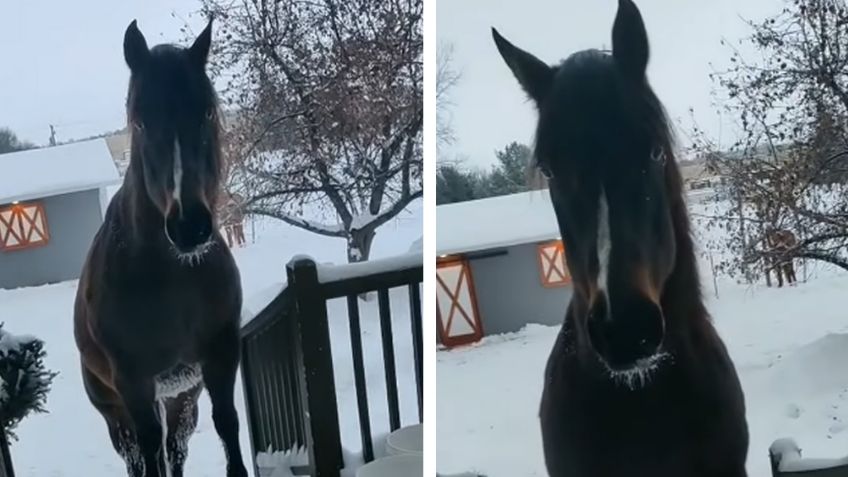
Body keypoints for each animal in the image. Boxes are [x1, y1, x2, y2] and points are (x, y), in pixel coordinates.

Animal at [73, 19, 248, 477]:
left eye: (207, 111)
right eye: (139, 122)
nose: (189, 226)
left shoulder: (220, 357)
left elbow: (228, 424)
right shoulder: (133, 382)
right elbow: (150, 452)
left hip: (180, 399)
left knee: (175, 450)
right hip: (117, 410)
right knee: (140, 456)